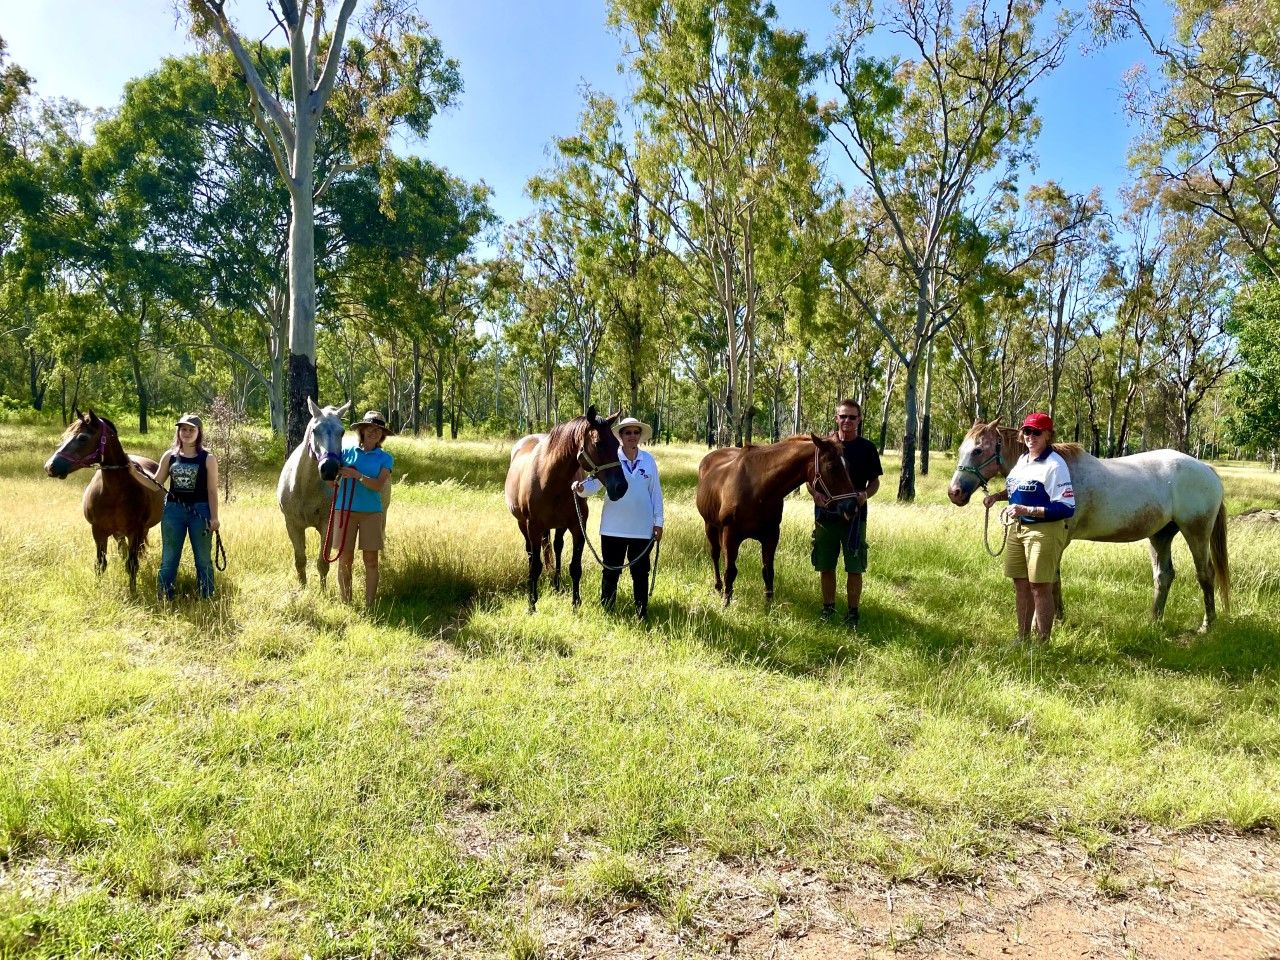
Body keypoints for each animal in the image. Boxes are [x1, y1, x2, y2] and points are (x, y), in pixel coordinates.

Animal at [43, 409, 165, 594]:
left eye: (83, 437)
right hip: (118, 533)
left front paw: (133, 592)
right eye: (64, 436)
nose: (50, 467)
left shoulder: (135, 531)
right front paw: (98, 588)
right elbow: (100, 564)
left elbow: (132, 564)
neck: (114, 492)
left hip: (141, 530)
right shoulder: (98, 531)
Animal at [277, 398, 351, 587]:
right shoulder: (292, 525)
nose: (329, 469)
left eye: (342, 432)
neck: (305, 490)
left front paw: (322, 590)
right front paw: (303, 588)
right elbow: (300, 560)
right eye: (315, 430)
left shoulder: (327, 526)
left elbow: (322, 563)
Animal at [505, 405, 628, 612]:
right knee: (530, 552)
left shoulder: (578, 527)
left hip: (559, 526)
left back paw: (557, 585)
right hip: (522, 525)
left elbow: (575, 567)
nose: (621, 487)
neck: (549, 479)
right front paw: (532, 604)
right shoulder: (533, 527)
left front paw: (576, 604)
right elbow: (535, 566)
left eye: (617, 444)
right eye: (599, 444)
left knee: (557, 547)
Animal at [696, 434, 856, 607]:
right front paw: (726, 603)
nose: (852, 506)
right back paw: (719, 587)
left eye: (848, 466)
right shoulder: (731, 535)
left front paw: (768, 604)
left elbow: (768, 571)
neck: (757, 489)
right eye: (832, 467)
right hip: (710, 526)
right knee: (715, 554)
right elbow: (730, 570)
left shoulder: (771, 535)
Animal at [947, 422, 1229, 631]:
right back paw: (1154, 621)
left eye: (978, 450)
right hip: (1160, 535)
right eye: (962, 449)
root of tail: (1207, 469)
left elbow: (1048, 579)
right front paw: (1057, 619)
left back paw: (1206, 625)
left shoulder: (1055, 542)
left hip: (1196, 532)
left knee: (1205, 574)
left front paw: (1046, 623)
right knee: (1164, 576)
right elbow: (1053, 580)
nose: (955, 492)